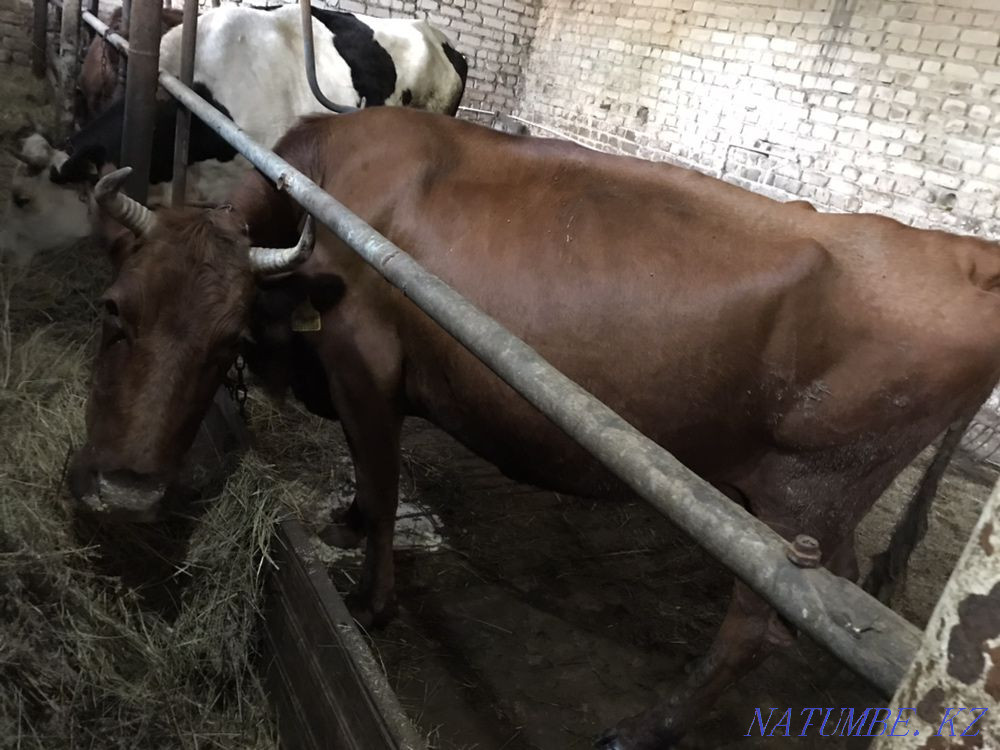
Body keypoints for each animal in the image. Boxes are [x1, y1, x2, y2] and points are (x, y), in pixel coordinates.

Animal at [67, 107, 1000, 749]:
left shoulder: (365, 371)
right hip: (822, 508)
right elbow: (367, 488)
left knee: (757, 627)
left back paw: (646, 727)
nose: (125, 487)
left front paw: (370, 601)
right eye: (113, 310)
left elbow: (382, 477)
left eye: (226, 340)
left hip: (801, 504)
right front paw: (346, 522)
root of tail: (964, 256)